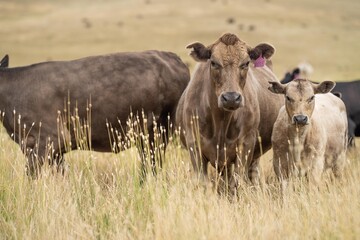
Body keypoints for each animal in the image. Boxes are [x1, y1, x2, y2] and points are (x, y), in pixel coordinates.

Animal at [0, 50, 190, 177]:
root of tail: (171, 56)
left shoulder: (51, 137)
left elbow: (31, 175)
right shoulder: (41, 147)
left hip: (161, 132)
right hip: (148, 136)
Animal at [175, 33, 284, 191]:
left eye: (246, 63)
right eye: (214, 63)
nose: (231, 98)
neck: (221, 121)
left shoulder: (246, 145)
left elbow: (237, 182)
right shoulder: (194, 145)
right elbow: (203, 182)